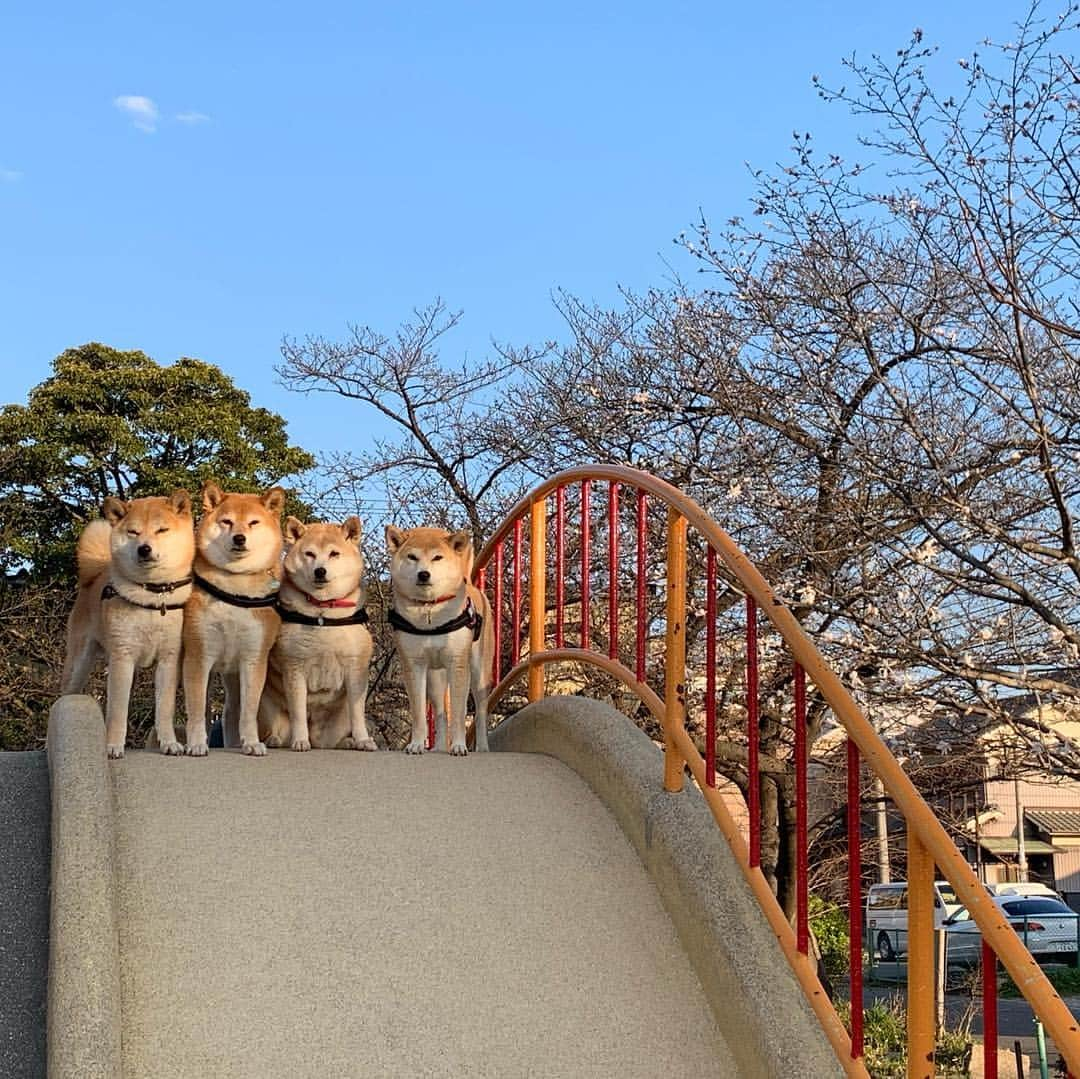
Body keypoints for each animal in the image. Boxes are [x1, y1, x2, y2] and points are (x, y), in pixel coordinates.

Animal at [61, 492, 196, 760]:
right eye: (133, 532)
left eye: (162, 530)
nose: (144, 548)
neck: (153, 598)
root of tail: (93, 576)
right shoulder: (122, 658)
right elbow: (117, 712)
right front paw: (112, 746)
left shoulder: (169, 660)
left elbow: (164, 708)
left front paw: (169, 743)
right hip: (80, 665)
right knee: (64, 696)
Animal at [185, 486, 287, 756]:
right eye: (227, 522)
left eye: (253, 522)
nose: (239, 538)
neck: (235, 587)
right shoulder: (199, 655)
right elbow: (197, 709)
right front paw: (196, 743)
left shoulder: (253, 658)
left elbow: (248, 712)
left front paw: (251, 743)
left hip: (233, 674)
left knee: (231, 713)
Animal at [384, 527, 494, 756]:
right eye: (412, 557)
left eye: (437, 557)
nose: (423, 574)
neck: (430, 610)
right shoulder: (413, 665)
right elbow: (419, 713)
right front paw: (416, 744)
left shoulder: (458, 663)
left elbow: (459, 713)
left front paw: (459, 745)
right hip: (435, 678)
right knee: (441, 712)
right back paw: (439, 747)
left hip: (479, 674)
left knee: (480, 711)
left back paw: (482, 747)